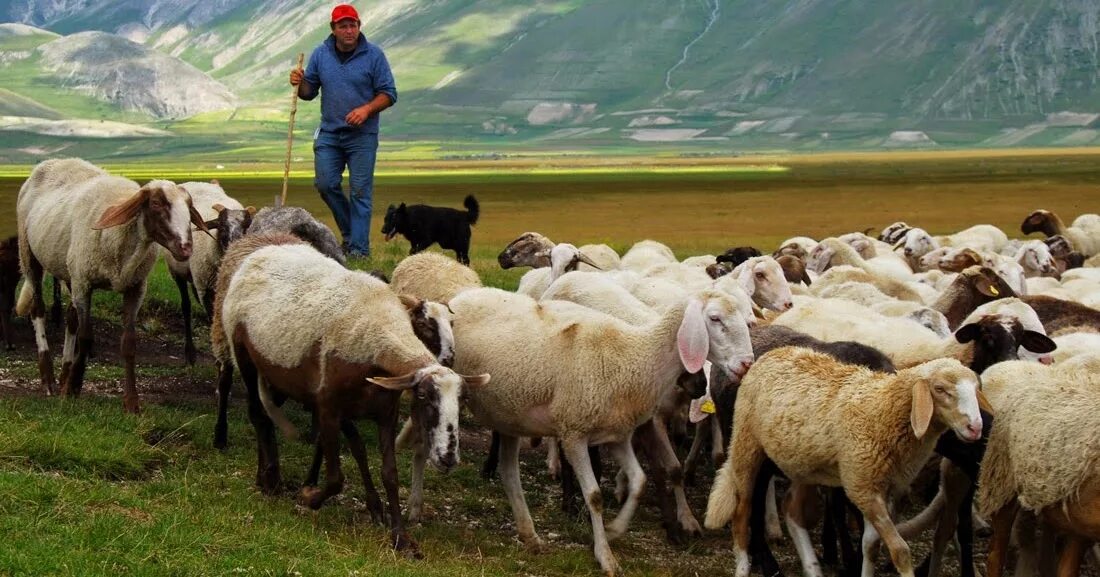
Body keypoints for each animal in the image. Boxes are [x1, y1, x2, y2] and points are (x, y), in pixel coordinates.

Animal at [15, 156, 206, 408]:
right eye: (156, 203)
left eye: (189, 206)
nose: (185, 248)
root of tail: (57, 160)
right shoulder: (84, 282)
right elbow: (86, 338)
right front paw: (73, 389)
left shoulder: (135, 288)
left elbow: (128, 343)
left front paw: (131, 402)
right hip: (30, 254)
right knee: (38, 310)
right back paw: (49, 380)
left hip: (68, 269)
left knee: (71, 319)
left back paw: (65, 373)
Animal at [161, 182, 254, 364]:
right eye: (222, 227)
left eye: (246, 228)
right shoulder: (205, 289)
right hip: (178, 271)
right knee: (186, 306)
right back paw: (190, 353)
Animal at [218, 238, 486, 553]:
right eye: (423, 396)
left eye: (463, 400)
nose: (448, 458)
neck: (377, 340)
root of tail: (262, 251)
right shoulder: (328, 407)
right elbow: (336, 477)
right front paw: (309, 497)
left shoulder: (385, 413)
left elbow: (389, 474)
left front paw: (399, 535)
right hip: (244, 356)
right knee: (258, 416)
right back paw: (270, 479)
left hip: (277, 373)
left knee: (267, 413)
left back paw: (266, 476)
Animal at [446, 285, 756, 571]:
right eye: (715, 319)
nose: (747, 364)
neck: (636, 357)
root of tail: (463, 294)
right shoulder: (574, 433)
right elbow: (594, 496)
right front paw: (605, 556)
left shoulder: (616, 435)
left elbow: (639, 481)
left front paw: (614, 530)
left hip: (509, 413)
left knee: (509, 472)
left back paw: (530, 535)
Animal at [708, 347, 985, 575]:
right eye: (940, 389)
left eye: (975, 389)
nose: (976, 428)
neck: (884, 409)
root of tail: (773, 353)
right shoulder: (862, 486)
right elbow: (900, 550)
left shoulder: (881, 487)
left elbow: (870, 545)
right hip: (746, 444)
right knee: (742, 511)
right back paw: (743, 567)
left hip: (801, 462)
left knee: (791, 508)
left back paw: (812, 567)